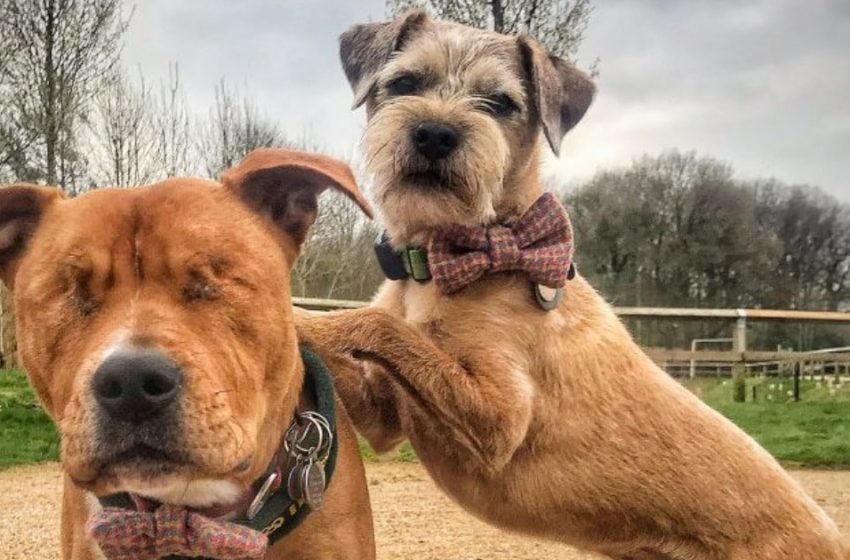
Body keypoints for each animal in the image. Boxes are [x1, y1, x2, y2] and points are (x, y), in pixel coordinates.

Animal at [294, 10, 848, 560]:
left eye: (501, 102)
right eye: (405, 82)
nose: (434, 133)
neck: (455, 255)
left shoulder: (501, 417)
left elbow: (381, 325)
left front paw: (299, 317)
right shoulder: (386, 418)